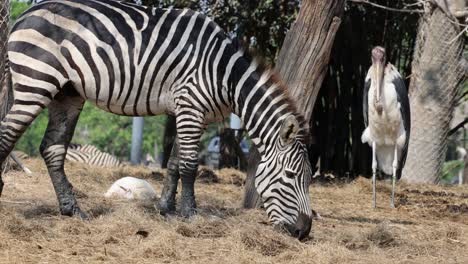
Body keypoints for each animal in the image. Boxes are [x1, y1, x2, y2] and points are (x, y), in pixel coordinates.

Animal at [0, 0, 314, 239]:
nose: (303, 231)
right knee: (7, 136)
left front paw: (166, 209)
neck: (225, 75)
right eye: (291, 176)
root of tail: (26, 13)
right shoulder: (191, 106)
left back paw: (72, 210)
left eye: (309, 178)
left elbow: (174, 163)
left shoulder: (189, 112)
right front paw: (190, 214)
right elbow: (189, 165)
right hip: (36, 81)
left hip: (67, 93)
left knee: (52, 148)